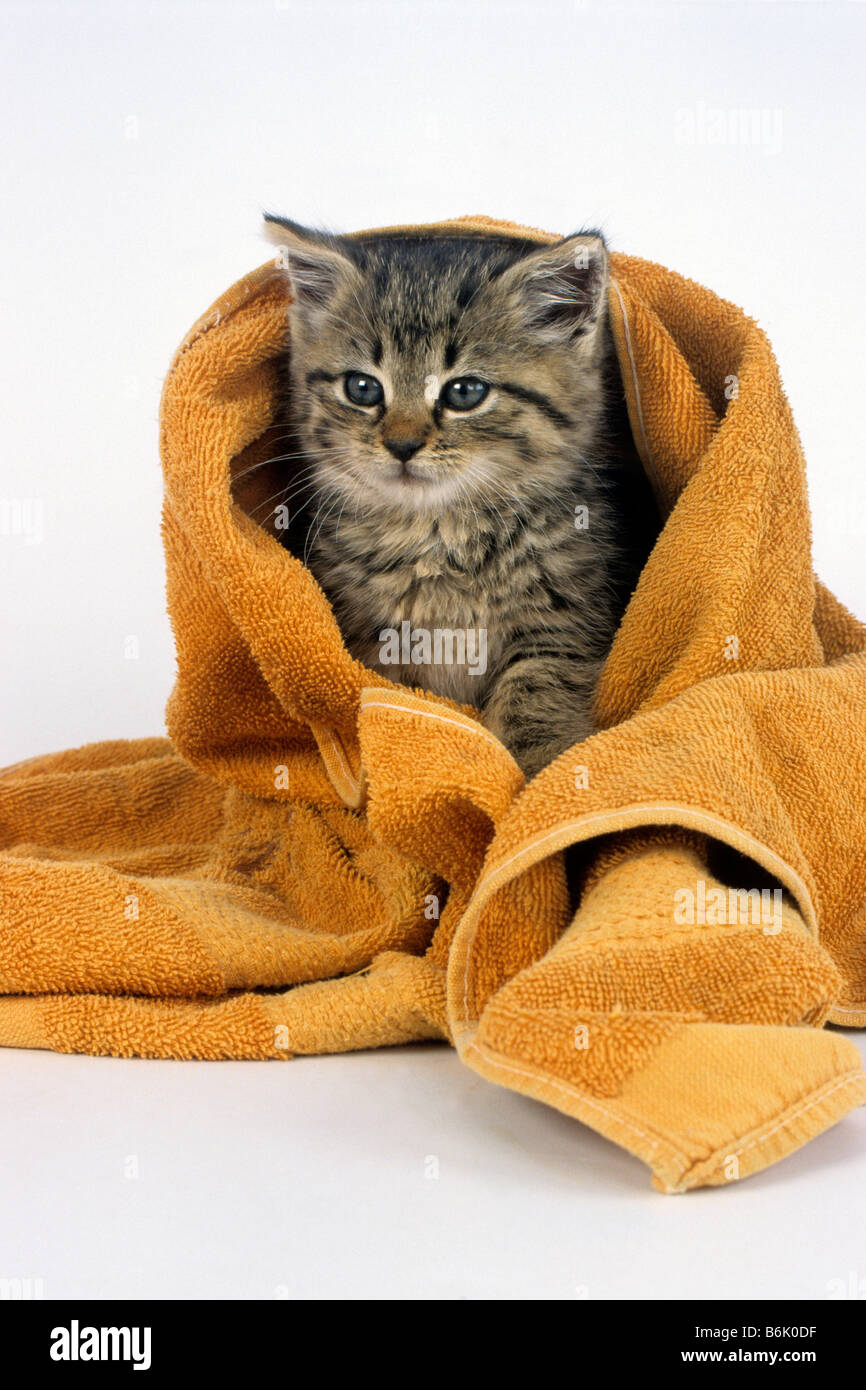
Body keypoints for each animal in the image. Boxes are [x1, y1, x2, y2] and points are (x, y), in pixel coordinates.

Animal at [261, 219, 661, 783]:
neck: (440, 532)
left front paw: (536, 778)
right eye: (362, 388)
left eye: (465, 392)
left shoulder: (564, 624)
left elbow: (537, 694)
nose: (402, 445)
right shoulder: (370, 646)